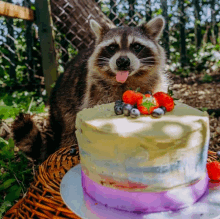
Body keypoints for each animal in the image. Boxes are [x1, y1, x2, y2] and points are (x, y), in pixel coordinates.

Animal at [11, 16, 168, 162]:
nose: (122, 61)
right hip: (64, 108)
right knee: (69, 131)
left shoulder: (154, 84)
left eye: (136, 46)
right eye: (112, 47)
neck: (128, 79)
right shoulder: (96, 88)